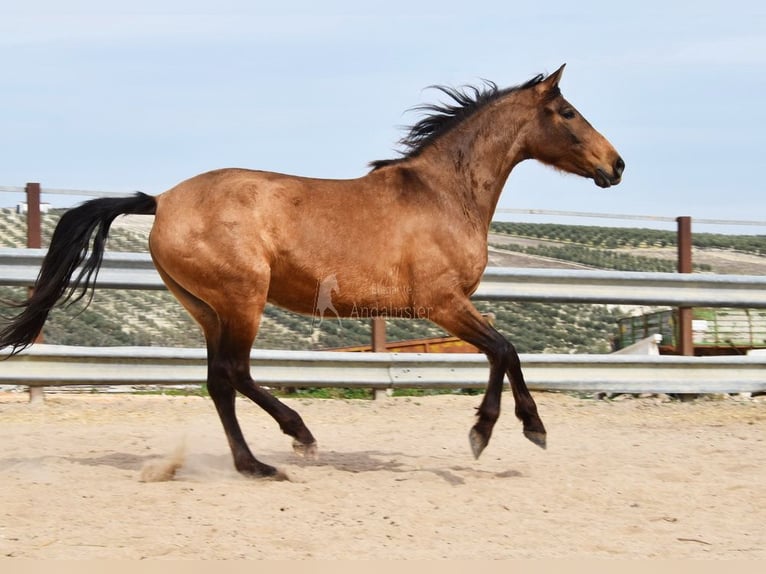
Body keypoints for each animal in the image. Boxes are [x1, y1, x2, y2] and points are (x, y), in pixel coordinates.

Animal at [0, 65, 624, 480]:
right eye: (568, 112)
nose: (616, 165)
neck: (443, 194)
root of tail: (162, 201)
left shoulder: (450, 308)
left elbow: (501, 353)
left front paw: (506, 429)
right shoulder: (442, 304)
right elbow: (505, 350)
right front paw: (504, 430)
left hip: (205, 308)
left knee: (219, 381)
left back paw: (254, 462)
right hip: (242, 300)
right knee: (235, 373)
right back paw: (294, 441)